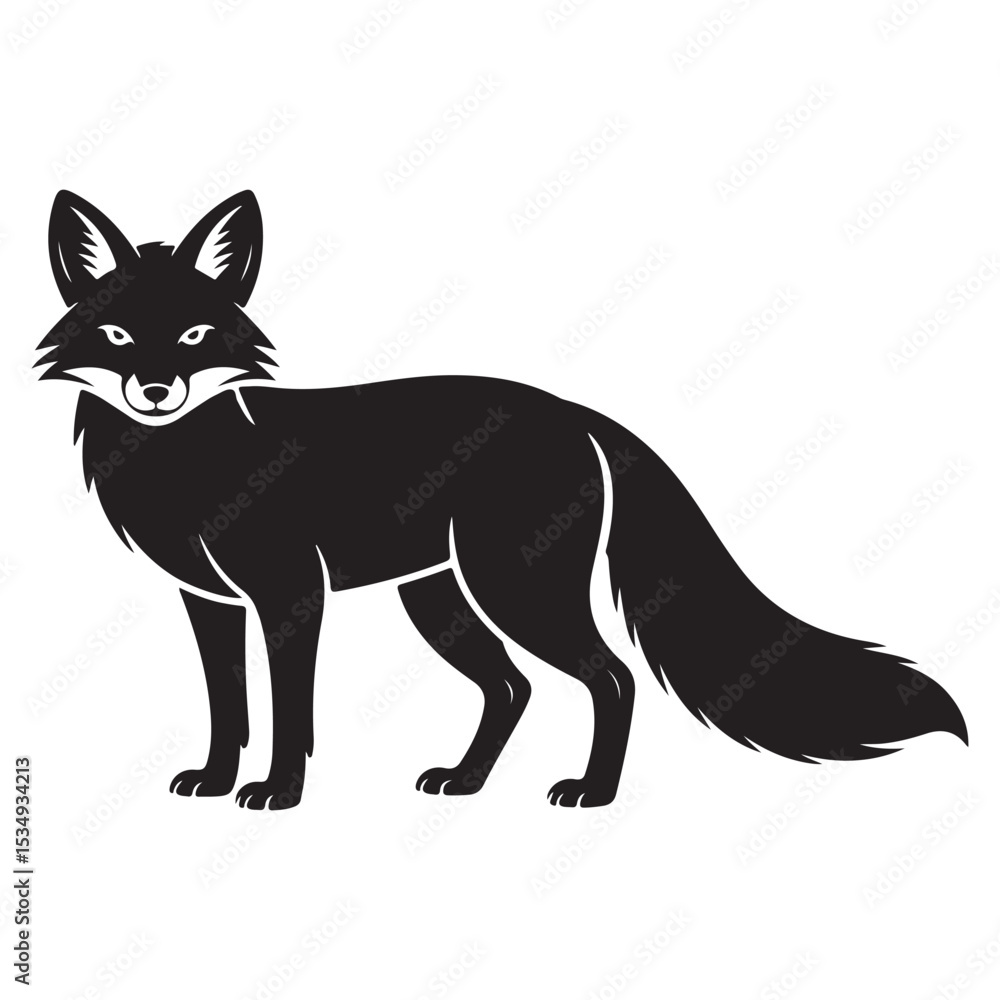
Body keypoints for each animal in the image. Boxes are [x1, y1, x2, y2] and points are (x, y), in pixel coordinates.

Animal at [36, 189, 968, 810]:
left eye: (195, 335)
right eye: (117, 334)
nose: (156, 390)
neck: (188, 460)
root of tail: (574, 413)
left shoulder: (289, 596)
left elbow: (289, 711)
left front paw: (277, 792)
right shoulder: (208, 602)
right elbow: (227, 705)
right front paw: (214, 780)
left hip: (512, 590)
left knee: (611, 677)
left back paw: (592, 793)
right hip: (440, 598)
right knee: (513, 689)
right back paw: (466, 780)